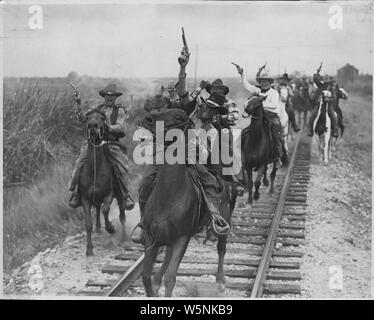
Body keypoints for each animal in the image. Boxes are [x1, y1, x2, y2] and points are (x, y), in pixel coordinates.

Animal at [78, 109, 126, 255]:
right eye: (87, 118)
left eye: (102, 118)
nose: (92, 126)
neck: (94, 170)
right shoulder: (85, 199)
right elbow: (88, 224)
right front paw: (89, 249)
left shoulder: (109, 194)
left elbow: (106, 209)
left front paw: (111, 227)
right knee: (98, 209)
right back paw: (98, 228)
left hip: (120, 196)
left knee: (122, 215)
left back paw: (124, 236)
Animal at [137, 108, 237, 298]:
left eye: (178, 117)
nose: (148, 119)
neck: (169, 195)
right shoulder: (152, 237)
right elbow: (145, 275)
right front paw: (153, 288)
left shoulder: (182, 238)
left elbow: (171, 278)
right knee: (166, 258)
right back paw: (156, 281)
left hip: (224, 222)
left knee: (221, 249)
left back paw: (220, 281)